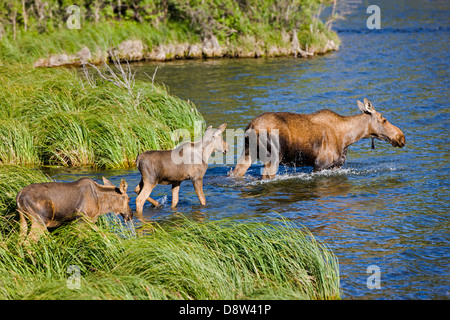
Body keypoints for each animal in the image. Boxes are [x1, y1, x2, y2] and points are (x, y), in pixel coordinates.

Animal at [232, 99, 404, 179]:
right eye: (384, 119)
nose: (401, 137)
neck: (348, 138)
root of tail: (250, 126)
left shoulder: (335, 166)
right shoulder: (319, 165)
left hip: (247, 152)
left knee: (236, 172)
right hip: (273, 157)